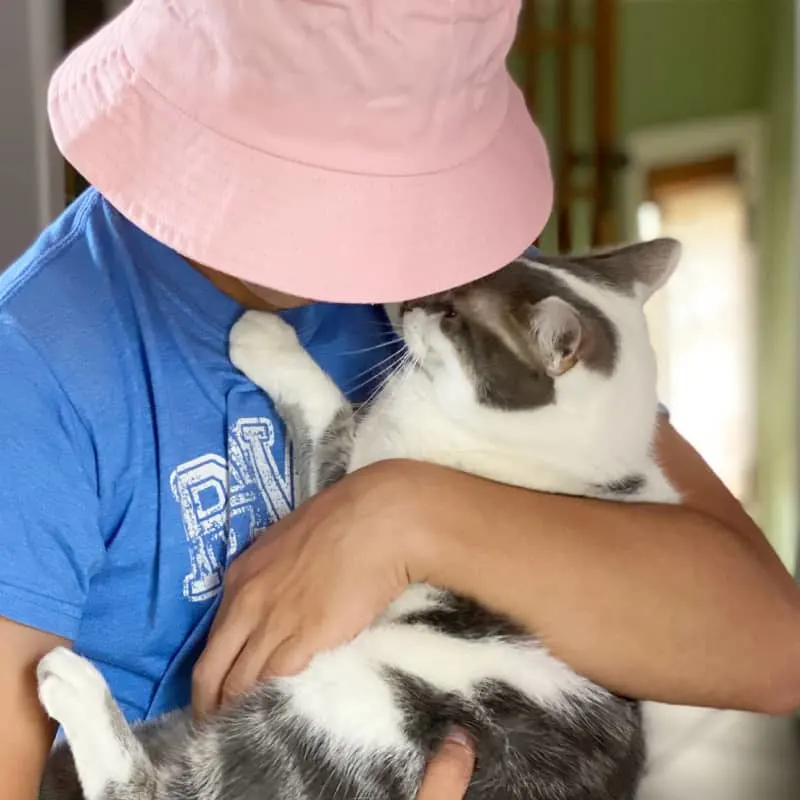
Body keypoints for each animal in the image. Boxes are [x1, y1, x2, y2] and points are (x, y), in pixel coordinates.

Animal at [39, 238, 680, 800]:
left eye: (453, 312)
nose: (417, 297)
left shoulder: (346, 488)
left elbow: (330, 413)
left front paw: (263, 336)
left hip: (356, 720)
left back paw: (72, 687)